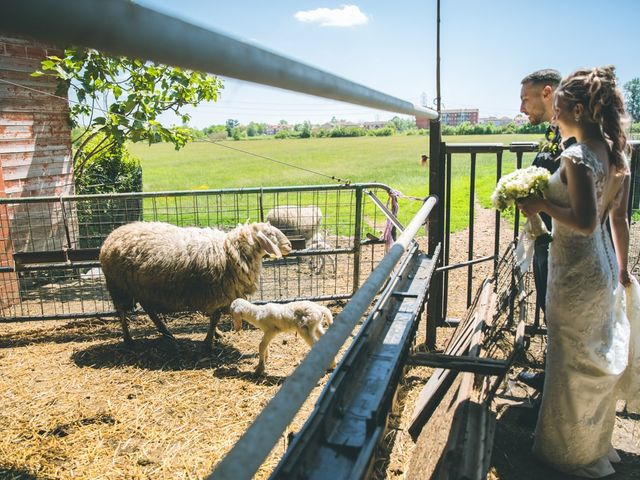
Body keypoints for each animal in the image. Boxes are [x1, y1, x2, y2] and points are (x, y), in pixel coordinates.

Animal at [99, 219, 292, 350]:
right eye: (270, 234)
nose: (289, 245)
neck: (232, 251)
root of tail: (110, 237)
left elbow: (215, 318)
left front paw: (216, 335)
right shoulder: (217, 294)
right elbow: (215, 318)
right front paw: (209, 341)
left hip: (141, 288)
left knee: (149, 310)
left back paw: (166, 333)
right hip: (118, 286)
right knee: (122, 313)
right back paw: (128, 340)